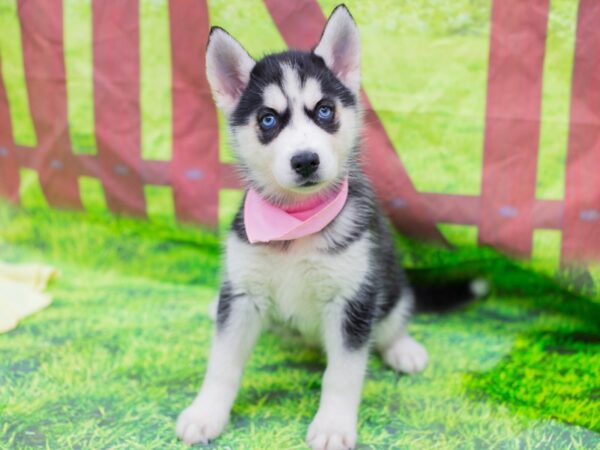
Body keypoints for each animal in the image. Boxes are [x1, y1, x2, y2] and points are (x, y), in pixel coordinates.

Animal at [176, 4, 486, 450]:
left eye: (324, 111)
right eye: (267, 120)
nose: (306, 160)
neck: (296, 224)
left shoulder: (352, 301)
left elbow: (342, 374)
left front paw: (333, 425)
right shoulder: (244, 295)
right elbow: (222, 364)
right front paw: (206, 414)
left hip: (387, 284)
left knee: (395, 316)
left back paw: (403, 348)